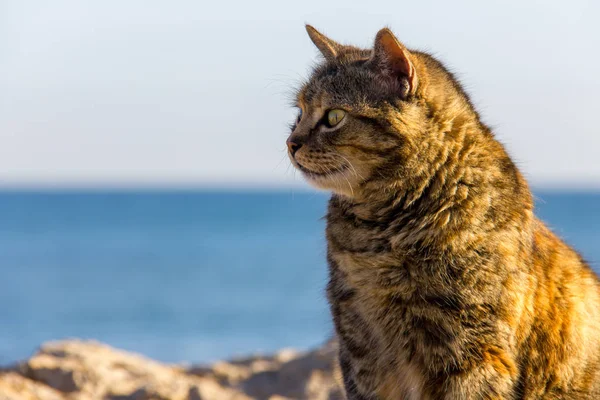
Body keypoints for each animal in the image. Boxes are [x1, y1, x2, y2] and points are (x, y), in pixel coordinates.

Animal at [284, 25, 600, 400]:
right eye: (298, 114)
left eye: (333, 117)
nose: (290, 143)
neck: (382, 233)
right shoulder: (361, 348)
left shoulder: (470, 354)